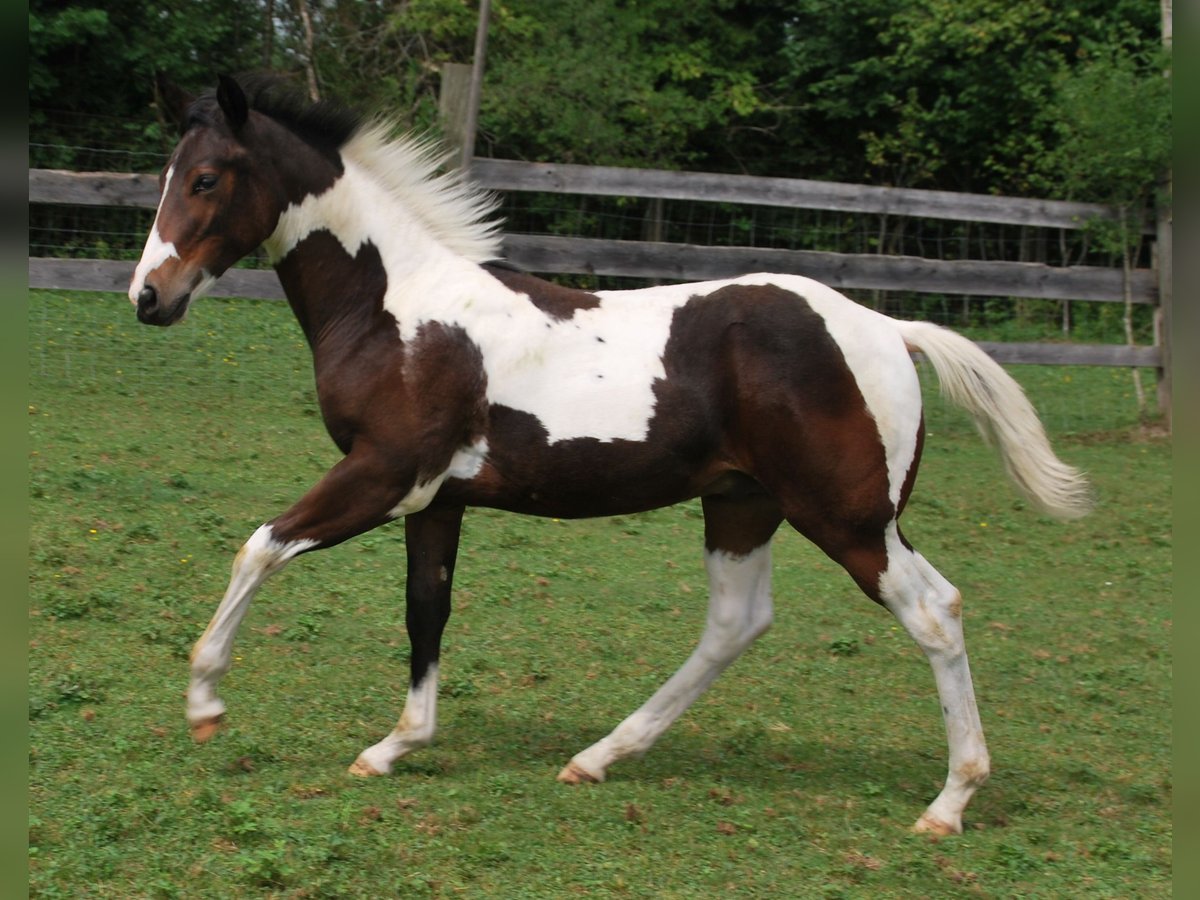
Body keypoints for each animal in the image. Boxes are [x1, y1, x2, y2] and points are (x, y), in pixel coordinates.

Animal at [128, 74, 1091, 835]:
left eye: (207, 178)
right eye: (164, 177)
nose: (149, 298)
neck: (398, 308)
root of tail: (891, 328)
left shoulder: (385, 474)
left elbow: (260, 546)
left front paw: (206, 701)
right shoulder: (438, 500)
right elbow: (425, 611)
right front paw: (396, 746)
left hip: (850, 518)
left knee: (934, 612)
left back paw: (948, 803)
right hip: (743, 504)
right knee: (736, 623)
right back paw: (598, 757)